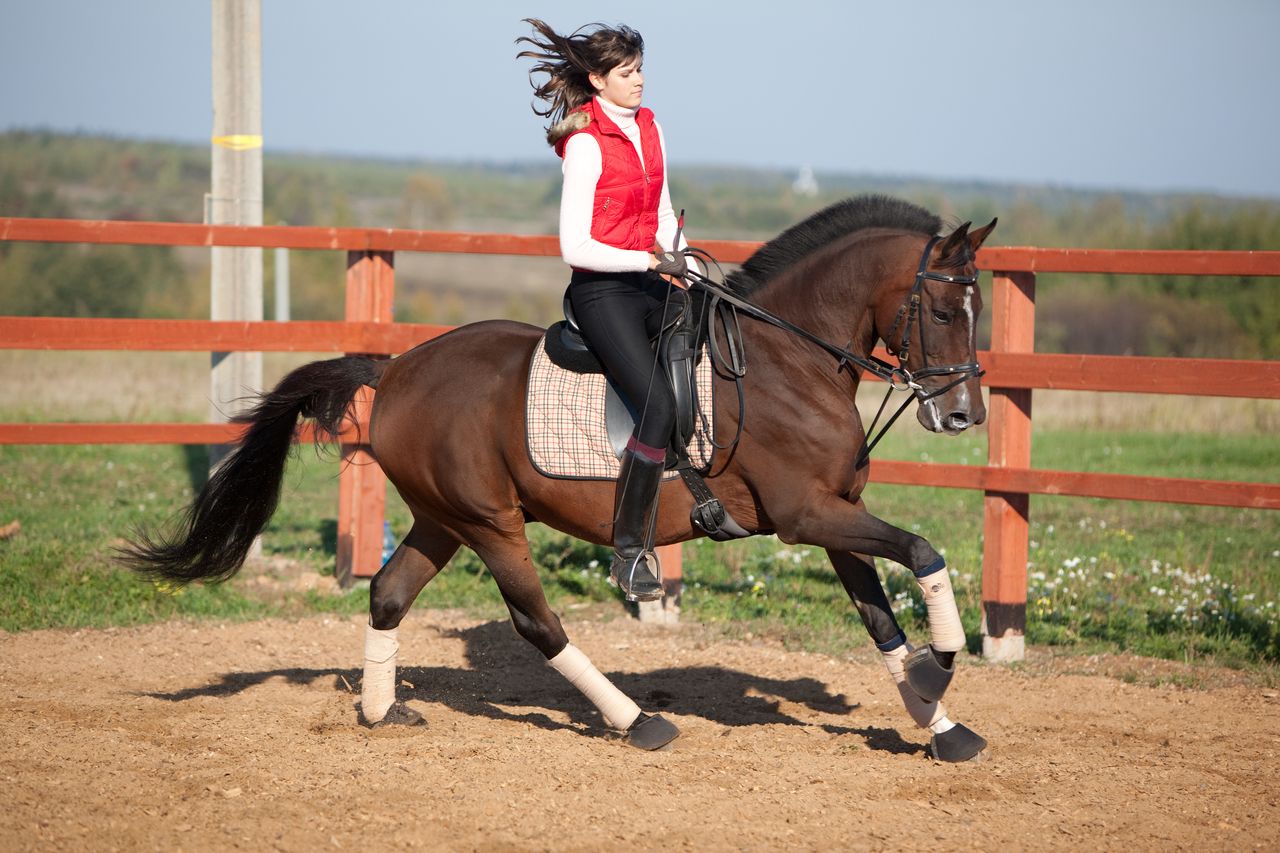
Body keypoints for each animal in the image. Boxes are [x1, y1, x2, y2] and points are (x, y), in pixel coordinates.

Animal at [122, 195, 998, 758]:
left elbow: (878, 613)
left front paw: (939, 720)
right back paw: (636, 721)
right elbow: (923, 552)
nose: (963, 415)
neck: (790, 358)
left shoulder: (833, 510)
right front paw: (944, 663)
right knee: (536, 621)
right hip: (490, 523)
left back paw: (381, 714)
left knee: (389, 594)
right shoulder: (803, 513)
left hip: (442, 518)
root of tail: (396, 368)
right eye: (943, 311)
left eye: (977, 312)